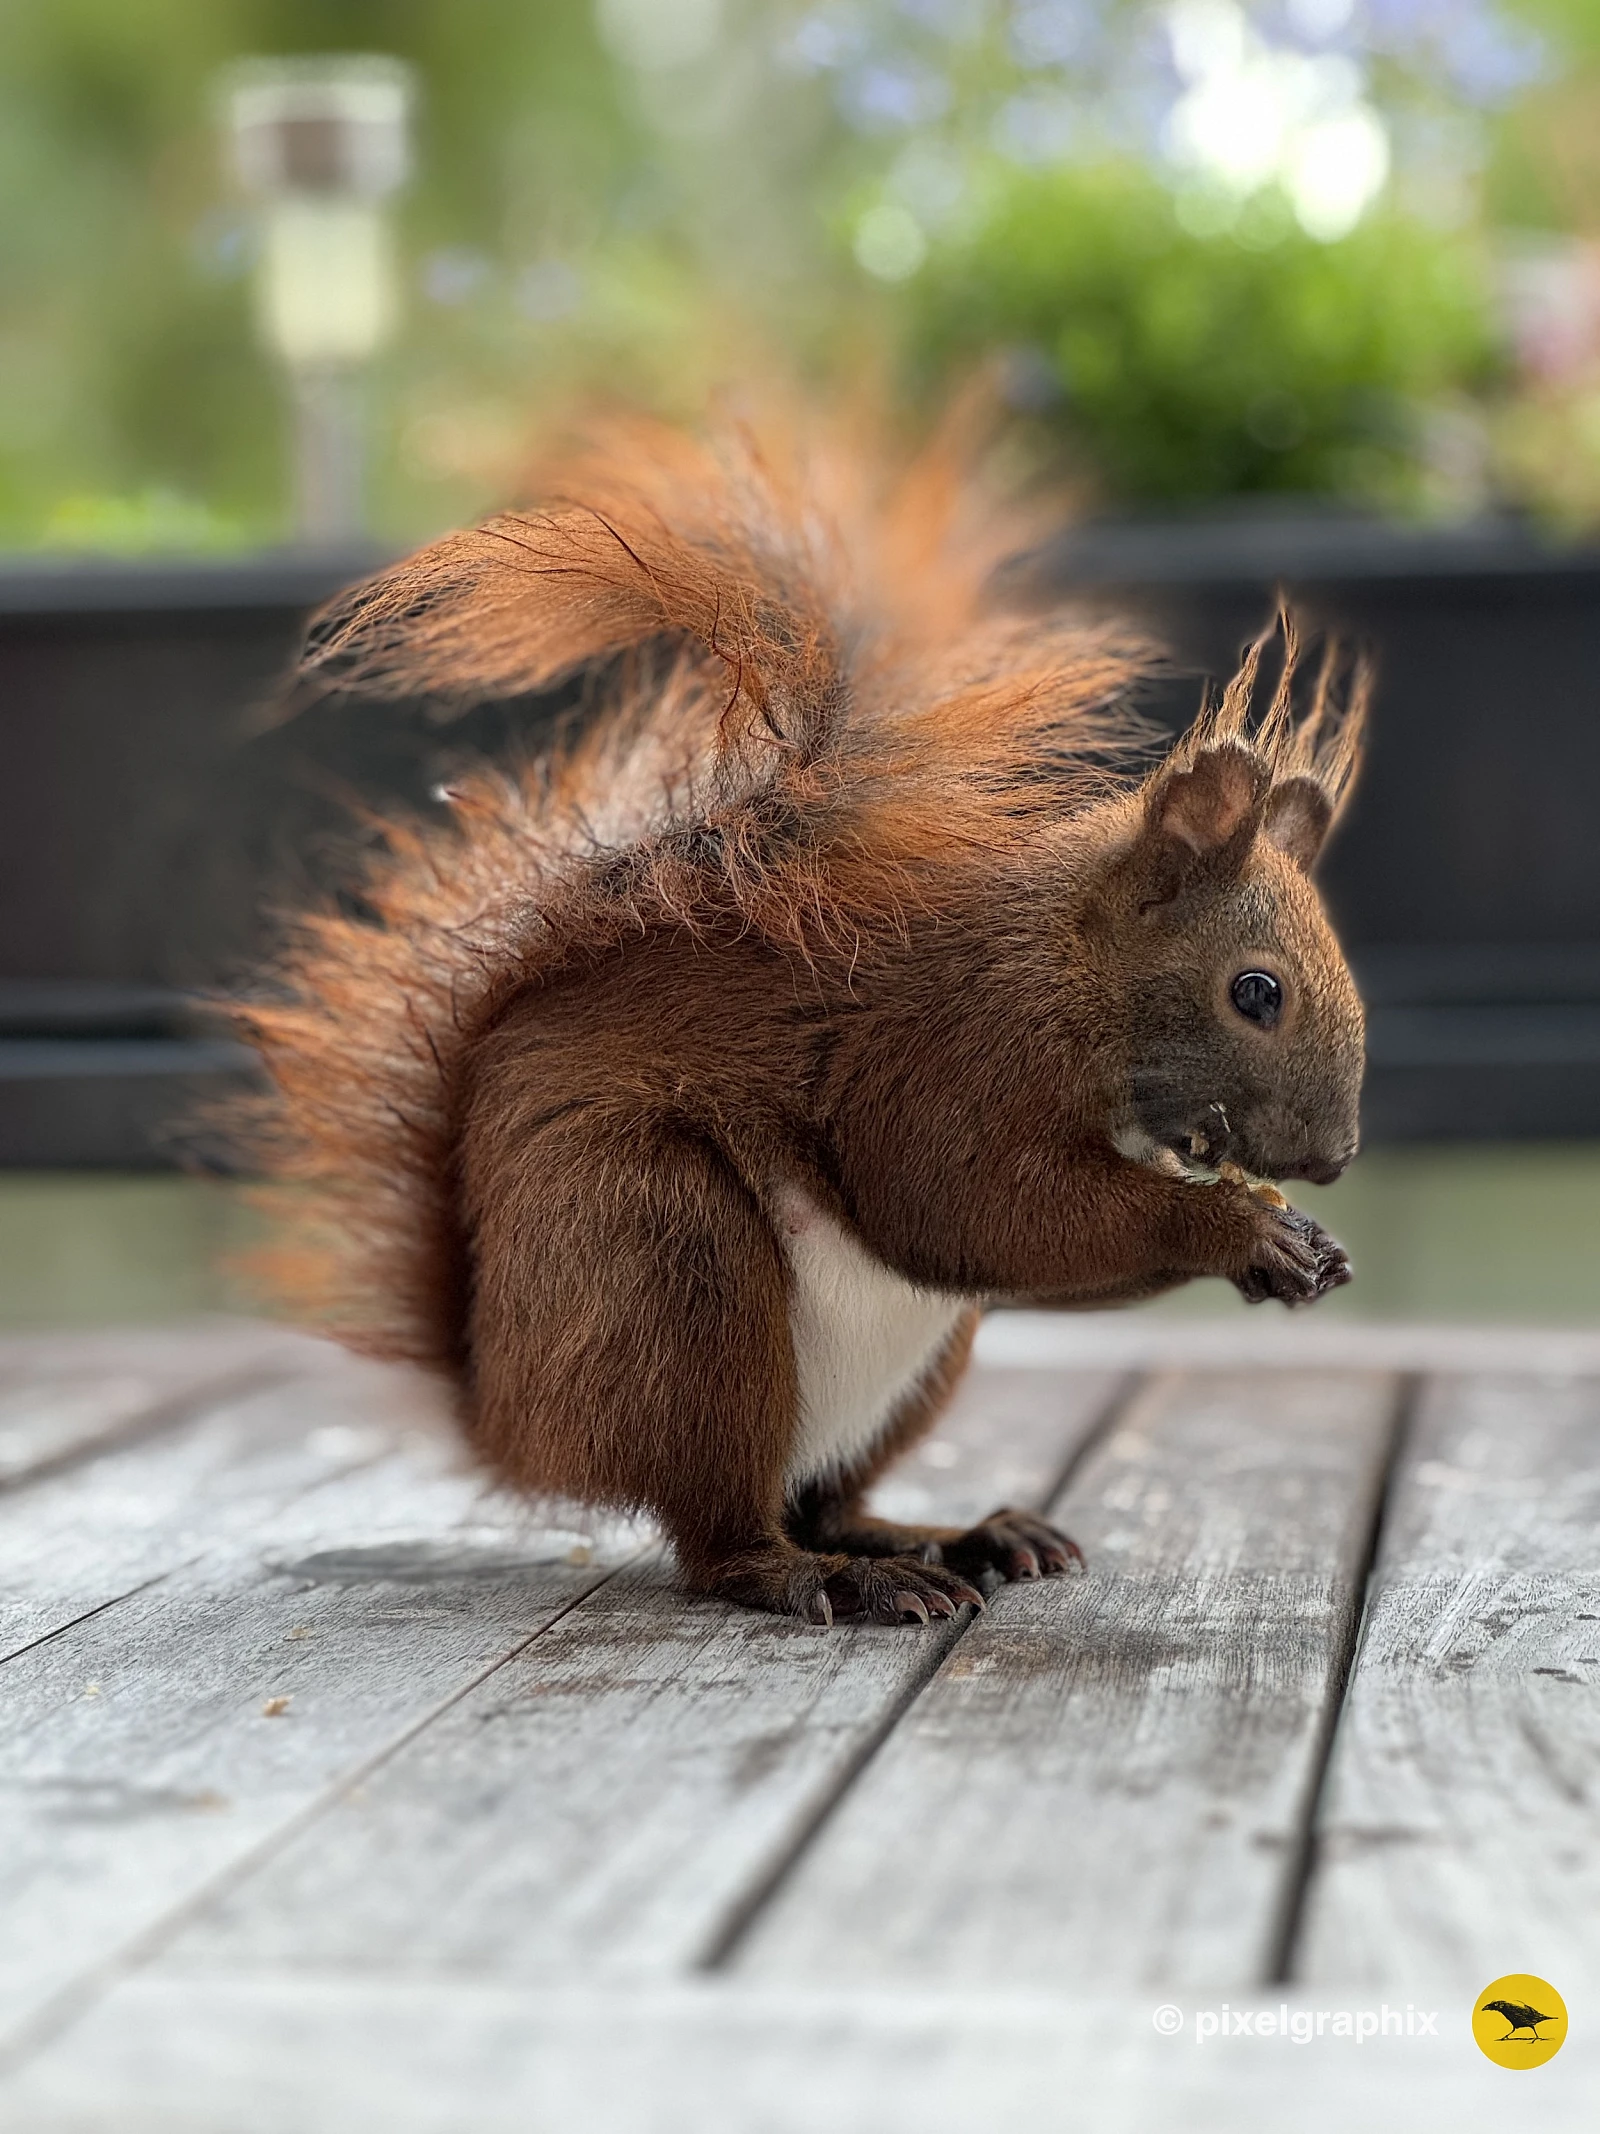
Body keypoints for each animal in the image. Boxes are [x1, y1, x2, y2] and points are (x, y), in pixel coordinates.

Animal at [239, 407, 1367, 1628]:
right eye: (1255, 991)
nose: (1335, 1157)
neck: (1074, 966)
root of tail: (504, 1416)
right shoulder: (947, 1050)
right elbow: (967, 1208)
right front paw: (1239, 1230)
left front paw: (1303, 1244)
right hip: (664, 1261)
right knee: (720, 1533)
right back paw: (824, 1578)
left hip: (910, 1364)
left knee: (825, 1495)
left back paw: (951, 1538)